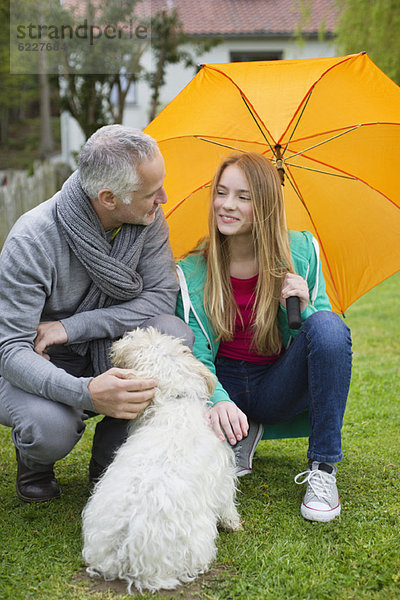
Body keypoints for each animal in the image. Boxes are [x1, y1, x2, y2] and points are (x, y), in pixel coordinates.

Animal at [82, 326, 241, 592]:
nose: (120, 340)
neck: (175, 403)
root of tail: (125, 550)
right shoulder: (222, 478)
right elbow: (228, 505)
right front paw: (234, 523)